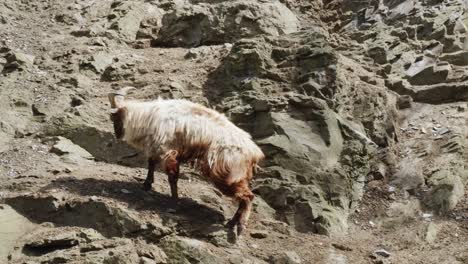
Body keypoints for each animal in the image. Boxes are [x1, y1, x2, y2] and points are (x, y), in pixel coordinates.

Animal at [107, 87, 266, 235]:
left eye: (113, 116)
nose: (117, 134)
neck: (147, 116)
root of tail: (255, 153)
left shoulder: (169, 151)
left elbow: (172, 177)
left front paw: (174, 202)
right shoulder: (157, 148)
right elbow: (151, 163)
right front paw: (147, 184)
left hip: (226, 175)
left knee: (248, 197)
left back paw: (239, 225)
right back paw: (232, 222)